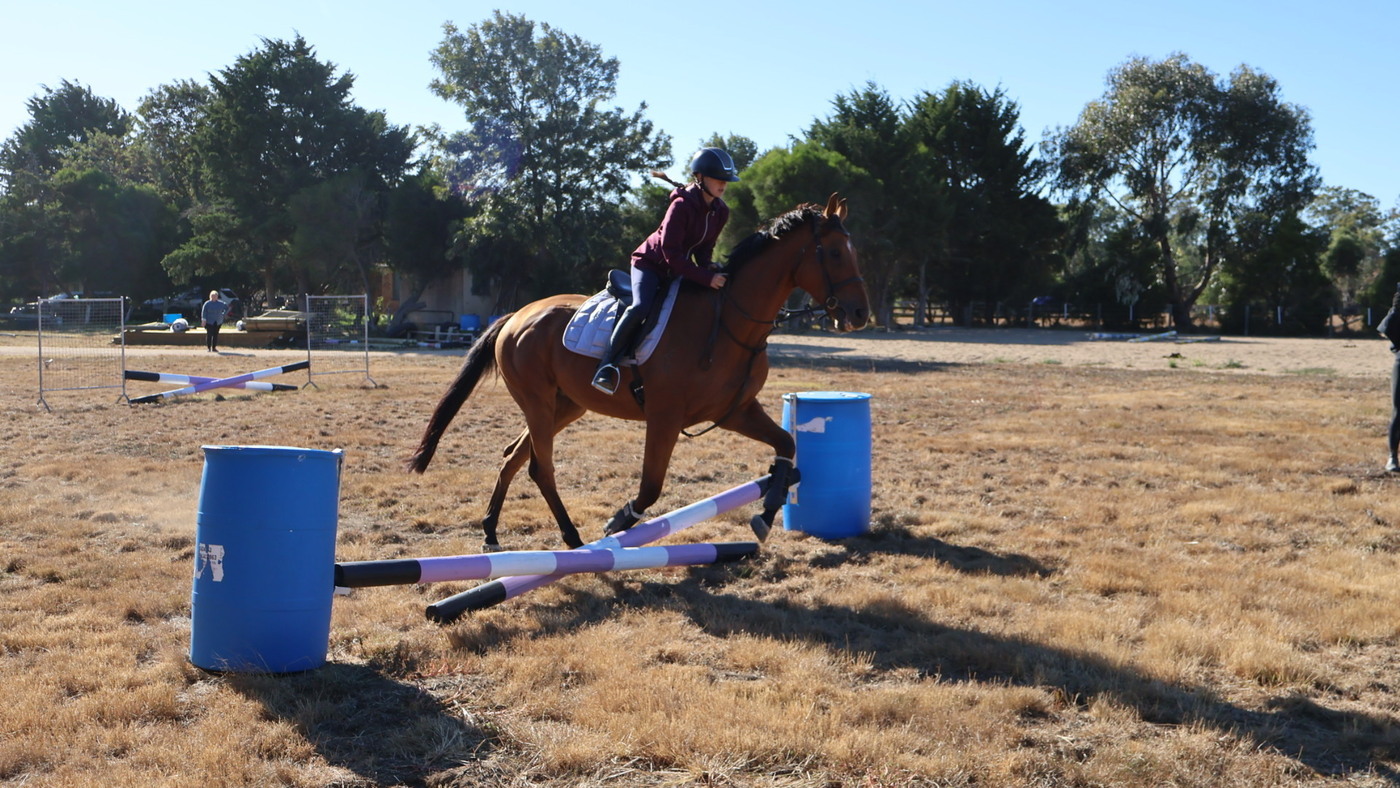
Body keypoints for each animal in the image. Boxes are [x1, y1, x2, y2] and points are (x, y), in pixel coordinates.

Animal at [408, 192, 870, 550]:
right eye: (833, 253)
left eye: (854, 251)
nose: (859, 315)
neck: (728, 322)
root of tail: (516, 315)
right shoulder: (664, 417)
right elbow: (651, 486)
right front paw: (618, 522)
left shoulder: (736, 411)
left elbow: (786, 447)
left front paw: (766, 513)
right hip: (538, 402)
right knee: (541, 468)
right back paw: (572, 537)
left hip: (565, 405)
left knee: (514, 457)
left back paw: (491, 532)